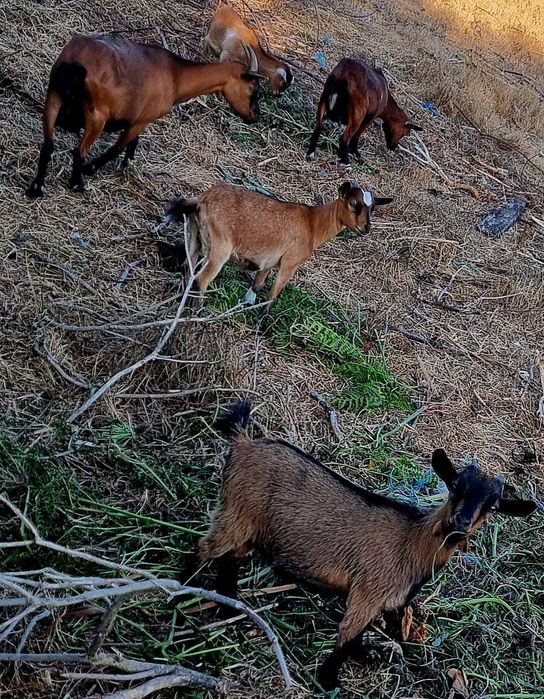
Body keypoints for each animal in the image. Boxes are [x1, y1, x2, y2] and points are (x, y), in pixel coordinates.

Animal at [26, 34, 262, 197]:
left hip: (53, 97)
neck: (175, 76)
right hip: (97, 115)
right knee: (79, 151)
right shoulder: (142, 119)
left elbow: (132, 143)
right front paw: (91, 168)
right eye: (252, 88)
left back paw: (37, 187)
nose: (254, 116)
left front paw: (128, 164)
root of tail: (76, 63)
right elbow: (119, 146)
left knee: (48, 144)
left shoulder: (136, 119)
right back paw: (77, 183)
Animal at [160, 181, 392, 321]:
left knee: (187, 268)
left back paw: (180, 302)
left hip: (194, 237)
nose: (366, 228)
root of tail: (201, 200)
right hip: (220, 247)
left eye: (372, 208)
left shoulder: (268, 262)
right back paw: (197, 312)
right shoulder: (289, 263)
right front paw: (261, 324)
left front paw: (245, 306)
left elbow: (257, 285)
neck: (312, 224)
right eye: (354, 204)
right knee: (202, 279)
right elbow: (273, 294)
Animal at [200, 400, 537, 691]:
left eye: (493, 506)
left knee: (231, 558)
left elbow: (361, 635)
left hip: (249, 526)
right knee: (206, 547)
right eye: (455, 487)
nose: (461, 521)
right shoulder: (368, 590)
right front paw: (328, 680)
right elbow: (348, 635)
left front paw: (364, 656)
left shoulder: (383, 600)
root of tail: (245, 442)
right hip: (237, 511)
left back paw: (226, 604)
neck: (411, 543)